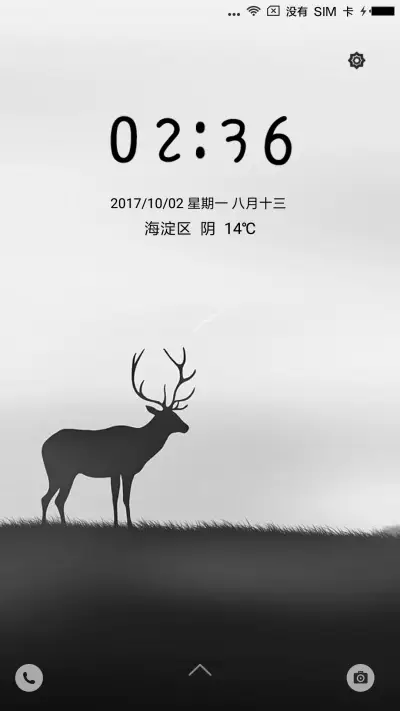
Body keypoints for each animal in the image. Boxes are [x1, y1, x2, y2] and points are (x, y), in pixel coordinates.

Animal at [41, 348, 196, 527]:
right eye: (168, 416)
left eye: (176, 413)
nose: (186, 427)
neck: (142, 446)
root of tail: (43, 447)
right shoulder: (127, 469)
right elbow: (125, 498)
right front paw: (129, 524)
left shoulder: (114, 472)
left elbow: (114, 497)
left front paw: (116, 523)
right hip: (63, 470)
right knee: (54, 499)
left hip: (59, 472)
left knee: (51, 498)